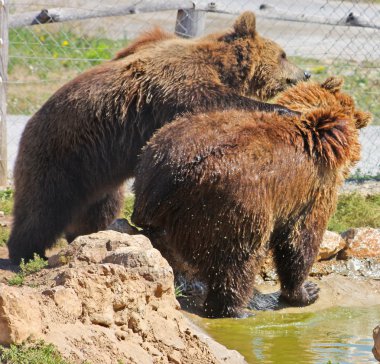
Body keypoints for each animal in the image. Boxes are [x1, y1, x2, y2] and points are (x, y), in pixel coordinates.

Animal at [9, 9, 308, 264]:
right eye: (283, 54)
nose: (305, 72)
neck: (220, 66)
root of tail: (27, 127)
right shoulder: (177, 85)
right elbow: (210, 101)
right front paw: (286, 110)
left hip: (98, 176)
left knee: (99, 206)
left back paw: (90, 234)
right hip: (60, 157)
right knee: (42, 208)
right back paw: (25, 253)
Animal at [131, 78, 372, 318]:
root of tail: (166, 182)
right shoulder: (312, 191)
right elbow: (300, 240)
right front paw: (306, 291)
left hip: (154, 159)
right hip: (231, 205)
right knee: (239, 258)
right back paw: (240, 308)